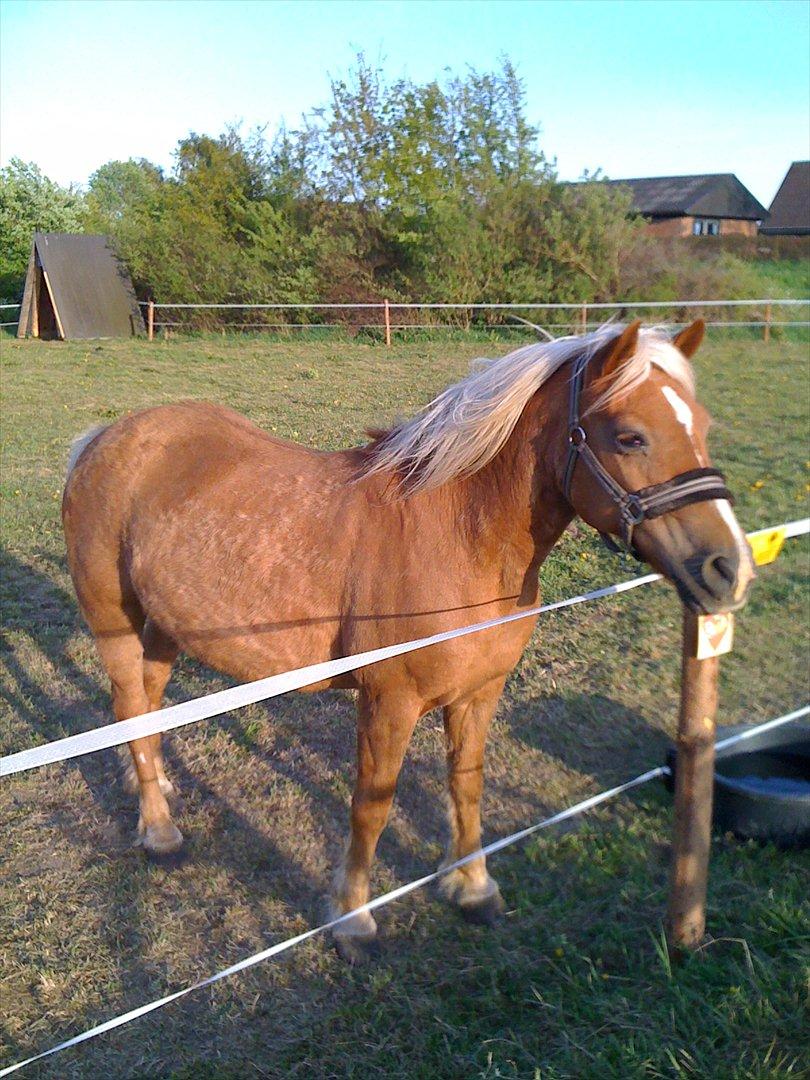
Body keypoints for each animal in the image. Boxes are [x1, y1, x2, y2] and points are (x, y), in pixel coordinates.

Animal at [63, 319, 756, 963]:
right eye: (631, 437)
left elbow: (466, 785)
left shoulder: (479, 694)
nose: (730, 569)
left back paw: (154, 788)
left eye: (701, 425)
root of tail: (102, 440)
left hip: (165, 626)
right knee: (129, 703)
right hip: (114, 621)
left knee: (145, 705)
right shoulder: (388, 703)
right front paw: (353, 920)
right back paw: (160, 832)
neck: (460, 537)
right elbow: (372, 805)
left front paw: (474, 889)